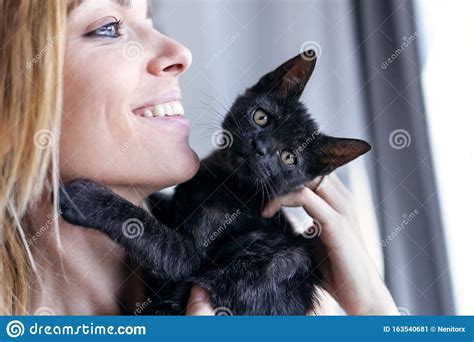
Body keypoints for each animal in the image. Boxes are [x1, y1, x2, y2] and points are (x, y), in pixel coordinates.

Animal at [59, 50, 370, 316]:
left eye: (288, 157)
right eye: (261, 117)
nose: (259, 148)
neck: (222, 180)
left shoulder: (190, 259)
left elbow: (143, 227)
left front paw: (84, 198)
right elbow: (160, 205)